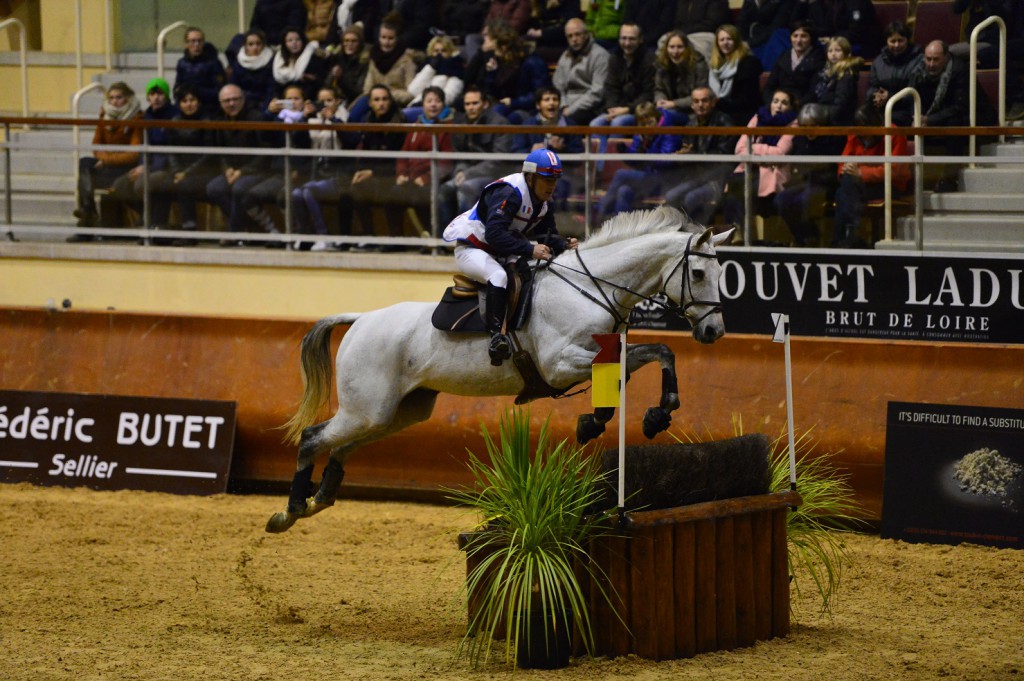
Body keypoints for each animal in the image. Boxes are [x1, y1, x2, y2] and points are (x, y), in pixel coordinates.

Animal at [268, 204, 733, 532]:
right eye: (697, 272)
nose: (713, 331)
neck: (590, 288)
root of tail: (360, 319)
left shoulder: (601, 354)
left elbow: (657, 354)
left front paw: (649, 416)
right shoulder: (560, 364)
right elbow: (632, 364)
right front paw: (622, 418)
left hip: (397, 412)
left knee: (342, 446)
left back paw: (320, 498)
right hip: (367, 409)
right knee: (313, 437)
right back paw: (290, 511)